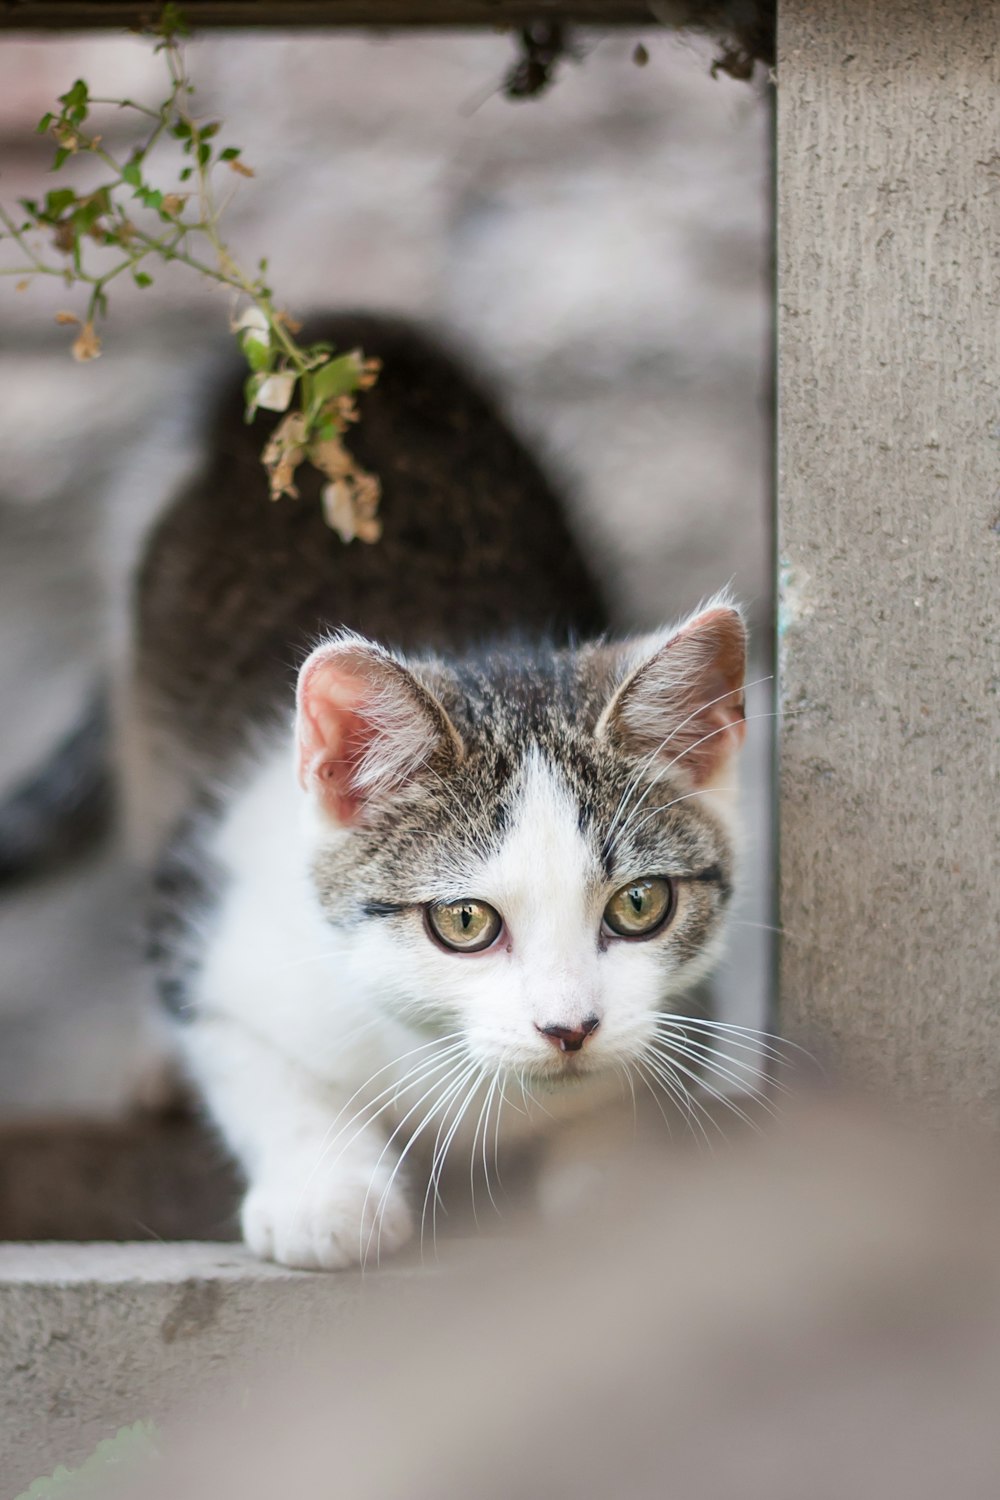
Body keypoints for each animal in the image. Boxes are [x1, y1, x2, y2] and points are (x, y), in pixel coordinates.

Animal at [119, 313, 749, 1266]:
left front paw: (613, 1176)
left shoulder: (677, 1009)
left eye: (640, 906)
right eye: (463, 922)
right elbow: (250, 1059)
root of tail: (339, 327)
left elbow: (627, 1079)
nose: (570, 1028)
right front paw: (326, 1191)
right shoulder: (212, 904)